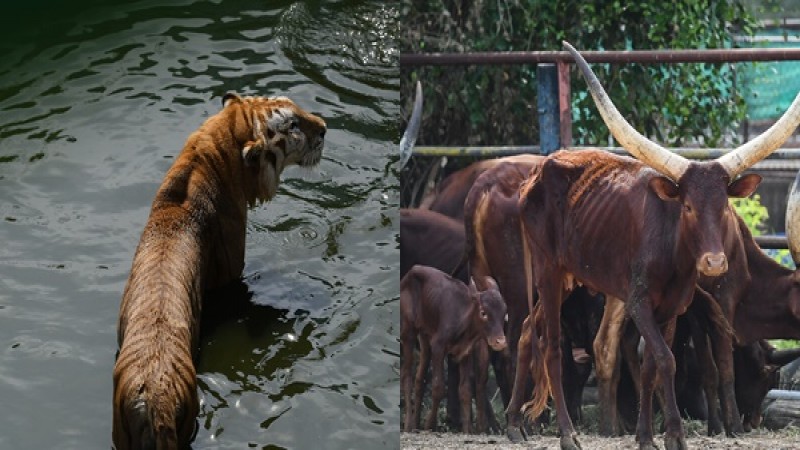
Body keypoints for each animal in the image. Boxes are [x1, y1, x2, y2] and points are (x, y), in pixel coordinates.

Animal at [400, 266, 506, 434]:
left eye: (504, 313)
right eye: (483, 312)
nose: (500, 342)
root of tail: (412, 270)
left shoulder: (465, 352)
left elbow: (465, 390)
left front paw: (467, 429)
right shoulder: (438, 346)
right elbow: (438, 388)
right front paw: (429, 425)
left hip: (425, 338)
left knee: (419, 378)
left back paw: (415, 424)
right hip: (408, 331)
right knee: (406, 374)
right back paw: (409, 425)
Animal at [512, 42, 800, 450]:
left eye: (724, 206)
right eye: (688, 207)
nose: (714, 264)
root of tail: (537, 172)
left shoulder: (673, 307)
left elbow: (651, 363)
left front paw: (647, 436)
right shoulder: (642, 302)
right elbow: (671, 360)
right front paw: (677, 434)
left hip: (570, 276)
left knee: (526, 329)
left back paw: (513, 423)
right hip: (548, 270)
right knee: (551, 345)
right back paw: (567, 435)